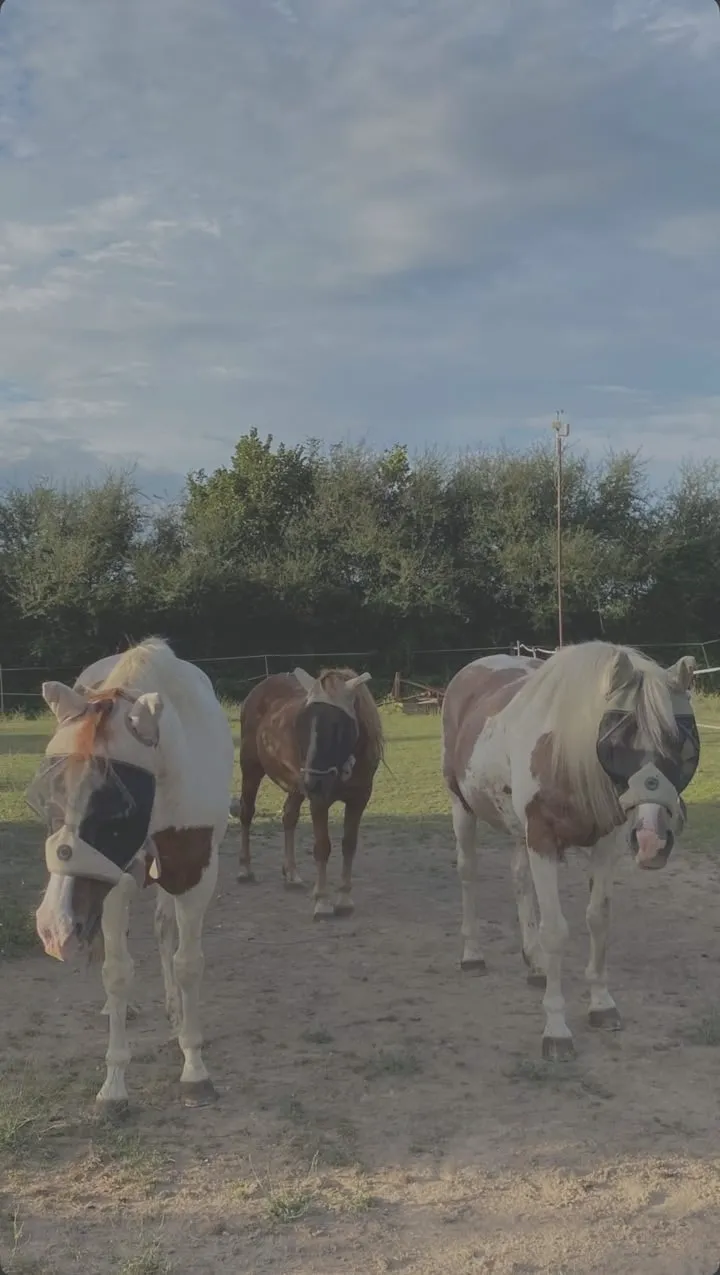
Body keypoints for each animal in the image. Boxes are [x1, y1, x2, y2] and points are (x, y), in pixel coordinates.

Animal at [30, 637, 234, 1113]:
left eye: (117, 808)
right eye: (49, 796)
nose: (53, 928)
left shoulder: (195, 875)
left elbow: (187, 964)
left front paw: (194, 1069)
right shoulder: (114, 882)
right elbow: (118, 972)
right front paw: (114, 1086)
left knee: (163, 931)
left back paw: (175, 1012)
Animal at [230, 666, 384, 919]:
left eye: (338, 724)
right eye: (300, 722)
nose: (312, 781)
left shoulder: (359, 799)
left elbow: (349, 845)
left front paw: (344, 899)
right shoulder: (319, 800)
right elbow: (322, 847)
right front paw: (322, 901)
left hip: (296, 785)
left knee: (288, 817)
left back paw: (292, 875)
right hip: (252, 768)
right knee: (246, 813)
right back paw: (244, 869)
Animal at [441, 642, 700, 1060]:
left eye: (680, 743)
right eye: (618, 742)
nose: (652, 842)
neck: (565, 751)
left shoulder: (606, 843)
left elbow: (598, 919)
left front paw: (602, 1005)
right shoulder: (543, 839)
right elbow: (556, 931)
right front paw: (557, 1029)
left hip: (518, 830)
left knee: (519, 879)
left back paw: (535, 965)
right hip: (461, 807)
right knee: (468, 874)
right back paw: (473, 956)